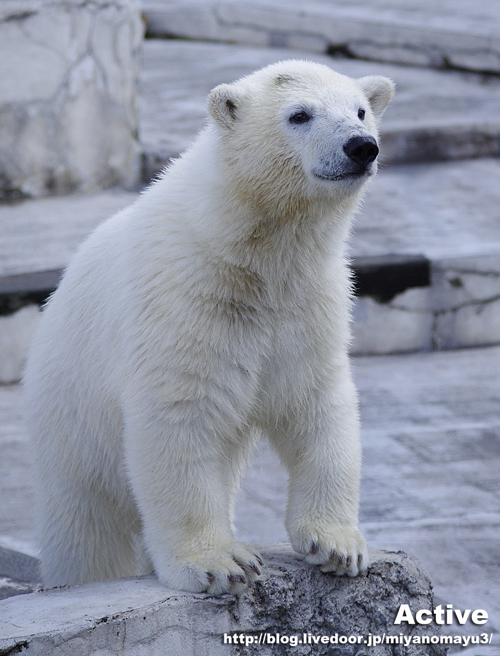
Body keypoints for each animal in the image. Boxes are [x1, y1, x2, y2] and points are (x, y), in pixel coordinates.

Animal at [24, 60, 394, 596]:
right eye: (299, 115)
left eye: (361, 110)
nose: (360, 146)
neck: (250, 248)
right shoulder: (186, 300)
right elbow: (179, 416)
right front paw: (219, 563)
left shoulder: (309, 306)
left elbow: (317, 403)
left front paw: (337, 546)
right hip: (71, 424)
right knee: (87, 531)